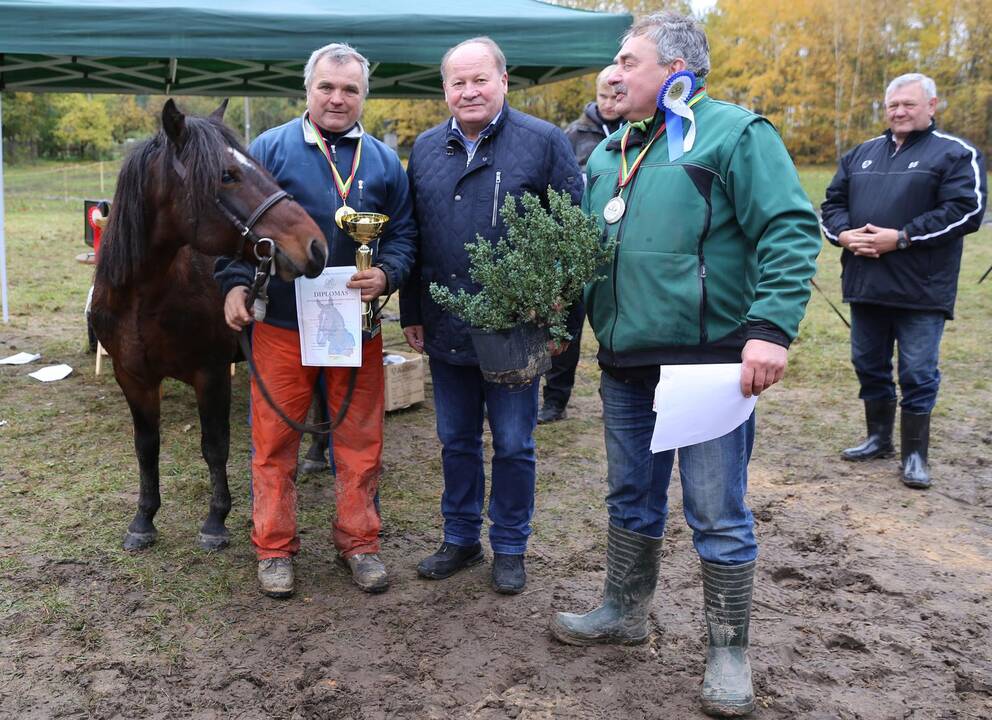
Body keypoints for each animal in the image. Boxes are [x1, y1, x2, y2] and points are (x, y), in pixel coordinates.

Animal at [91, 100, 328, 552]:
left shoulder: (211, 372)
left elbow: (215, 446)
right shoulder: (132, 377)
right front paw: (143, 520)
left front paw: (216, 521)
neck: (143, 298)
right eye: (227, 175)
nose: (315, 246)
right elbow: (146, 446)